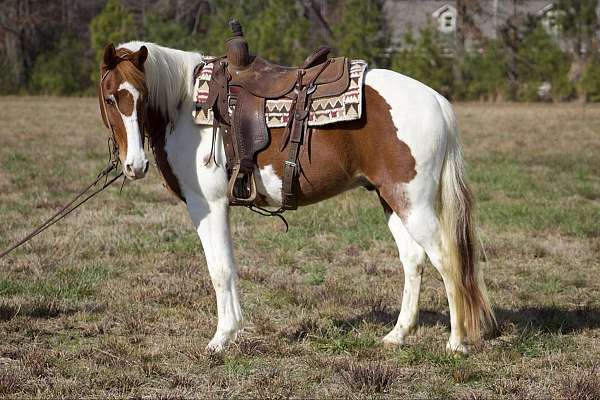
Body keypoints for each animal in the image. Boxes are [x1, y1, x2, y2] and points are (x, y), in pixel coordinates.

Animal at [96, 41, 494, 354]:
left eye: (141, 96)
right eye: (111, 97)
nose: (135, 165)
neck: (185, 104)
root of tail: (437, 101)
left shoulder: (207, 205)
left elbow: (219, 270)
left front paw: (221, 338)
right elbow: (230, 268)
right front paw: (235, 331)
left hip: (414, 203)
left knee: (447, 260)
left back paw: (456, 342)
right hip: (392, 199)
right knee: (414, 260)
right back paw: (397, 335)